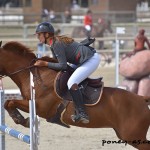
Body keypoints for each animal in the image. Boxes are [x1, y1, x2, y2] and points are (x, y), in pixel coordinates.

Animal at [0, 41, 150, 150]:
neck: (32, 75)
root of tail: (141, 99)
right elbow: (7, 103)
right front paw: (20, 119)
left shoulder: (40, 107)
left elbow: (11, 102)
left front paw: (22, 120)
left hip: (133, 136)